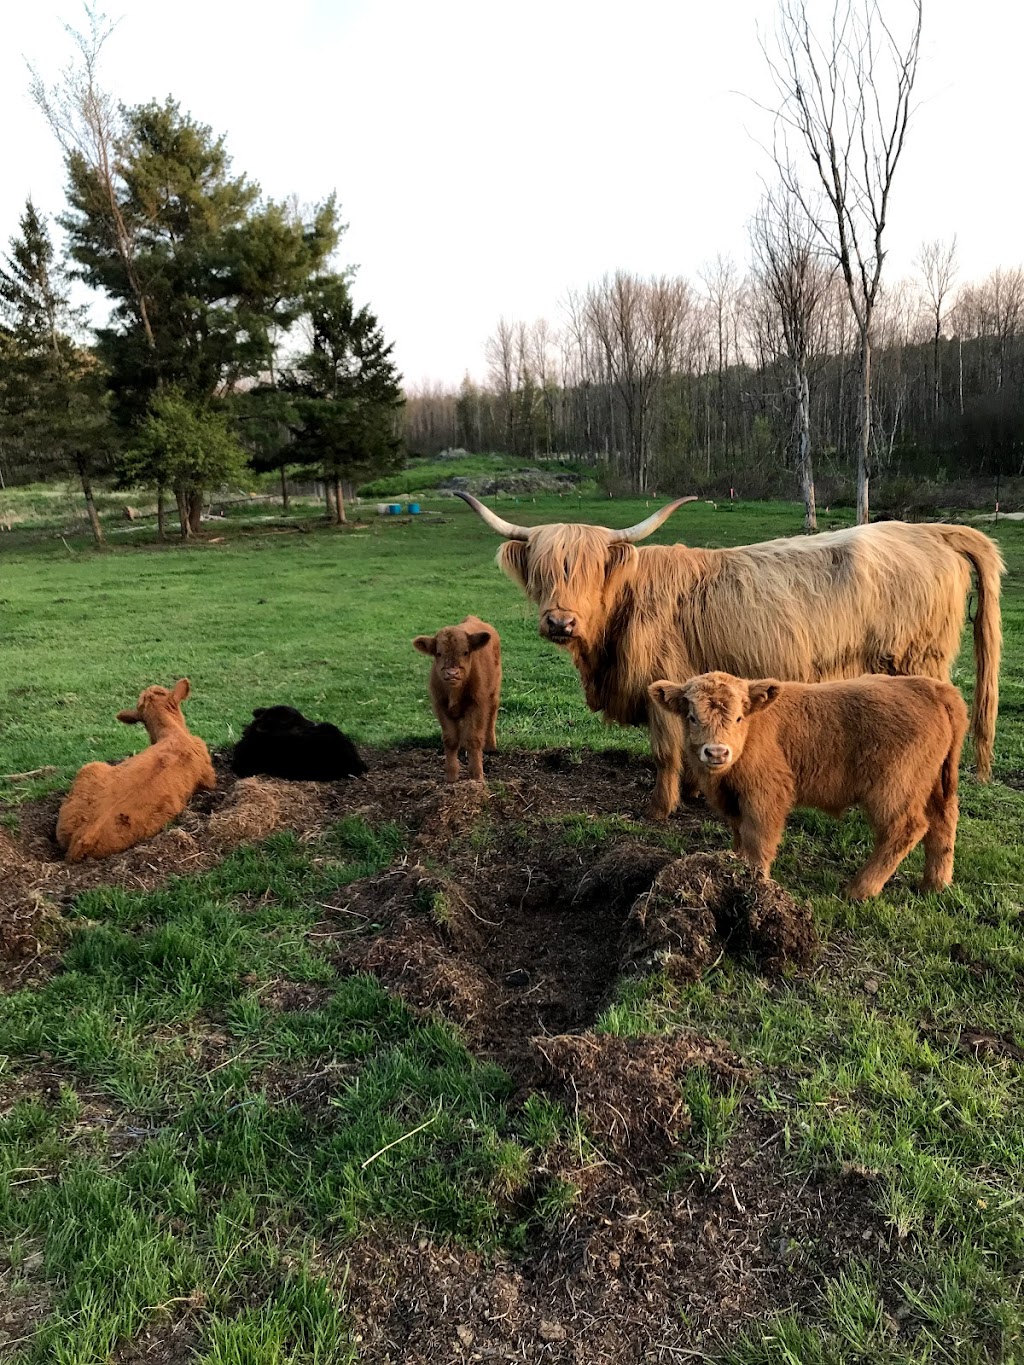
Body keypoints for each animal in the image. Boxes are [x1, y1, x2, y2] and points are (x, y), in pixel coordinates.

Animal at [412, 616, 502, 786]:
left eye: (465, 652)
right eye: (439, 653)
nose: (452, 673)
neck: (454, 691)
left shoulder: (477, 705)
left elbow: (473, 739)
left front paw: (477, 775)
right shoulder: (440, 706)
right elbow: (450, 739)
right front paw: (451, 776)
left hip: (494, 691)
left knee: (492, 715)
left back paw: (490, 746)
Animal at [461, 496, 1004, 813]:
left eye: (590, 569)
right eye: (541, 570)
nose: (560, 622)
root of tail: (931, 530)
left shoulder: (661, 683)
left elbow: (665, 754)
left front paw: (660, 810)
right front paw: (697, 792)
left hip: (917, 662)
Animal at [649, 666, 972, 900]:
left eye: (739, 717)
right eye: (691, 717)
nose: (716, 752)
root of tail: (933, 687)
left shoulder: (766, 794)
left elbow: (757, 838)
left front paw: (756, 882)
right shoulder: (734, 800)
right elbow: (740, 834)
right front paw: (734, 869)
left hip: (894, 788)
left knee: (905, 829)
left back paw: (859, 889)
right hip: (934, 786)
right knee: (942, 823)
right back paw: (934, 884)